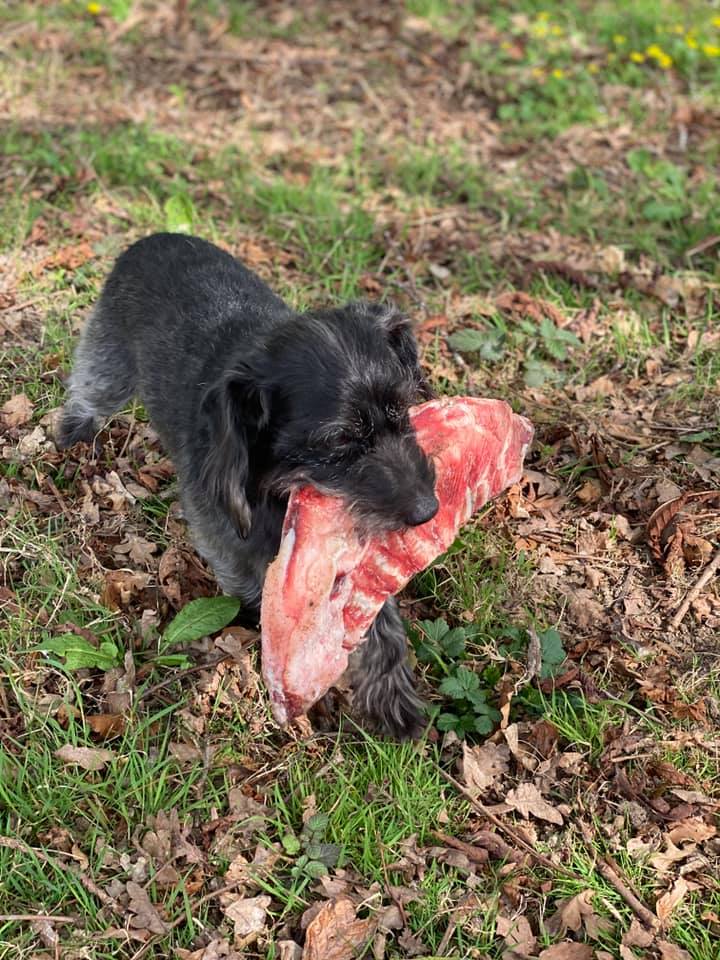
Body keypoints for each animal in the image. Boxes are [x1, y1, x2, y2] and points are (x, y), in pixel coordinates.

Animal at [59, 234, 438, 744]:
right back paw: (71, 437)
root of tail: (153, 237)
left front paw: (390, 695)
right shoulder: (226, 538)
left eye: (402, 409)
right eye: (339, 441)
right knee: (87, 389)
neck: (277, 481)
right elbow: (259, 594)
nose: (427, 510)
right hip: (109, 364)